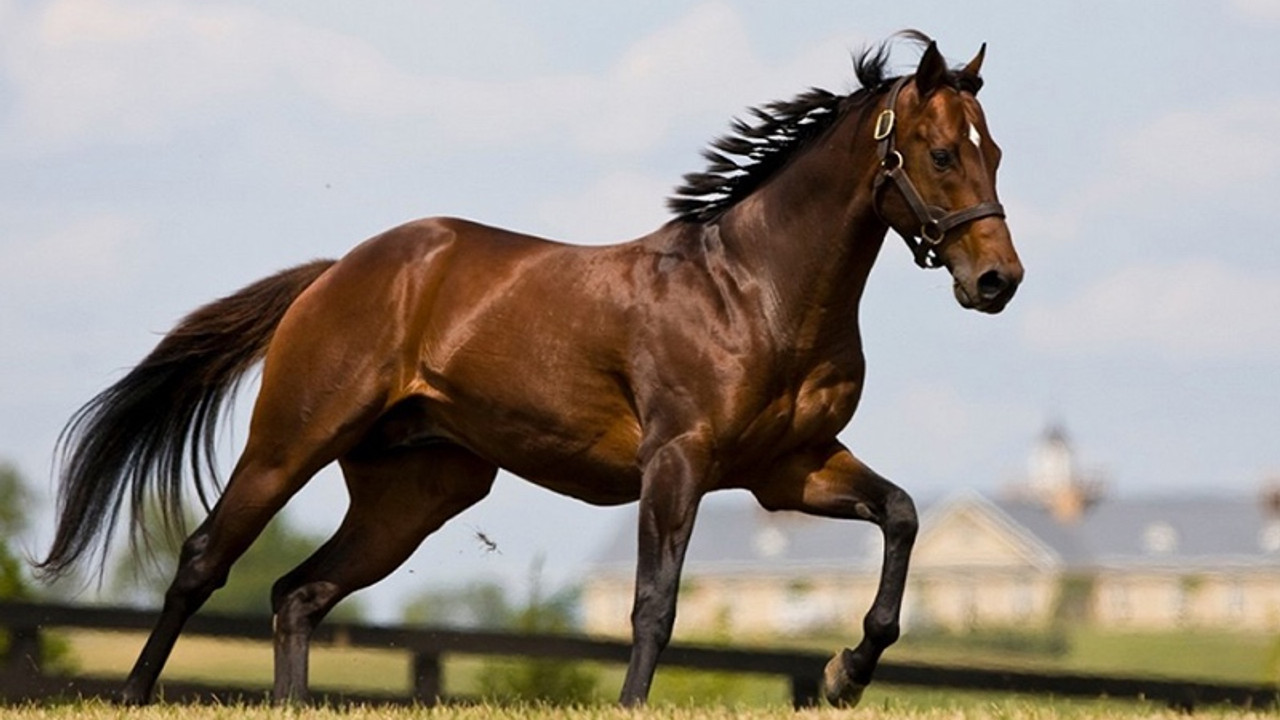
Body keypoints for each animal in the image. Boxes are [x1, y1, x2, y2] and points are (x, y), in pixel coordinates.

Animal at [37, 30, 1018, 702]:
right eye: (941, 152)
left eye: (996, 152)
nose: (998, 281)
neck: (754, 291)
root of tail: (337, 272)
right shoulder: (679, 461)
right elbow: (654, 602)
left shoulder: (790, 469)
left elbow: (900, 516)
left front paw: (846, 672)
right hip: (291, 442)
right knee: (206, 559)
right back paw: (133, 696)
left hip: (418, 492)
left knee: (298, 592)